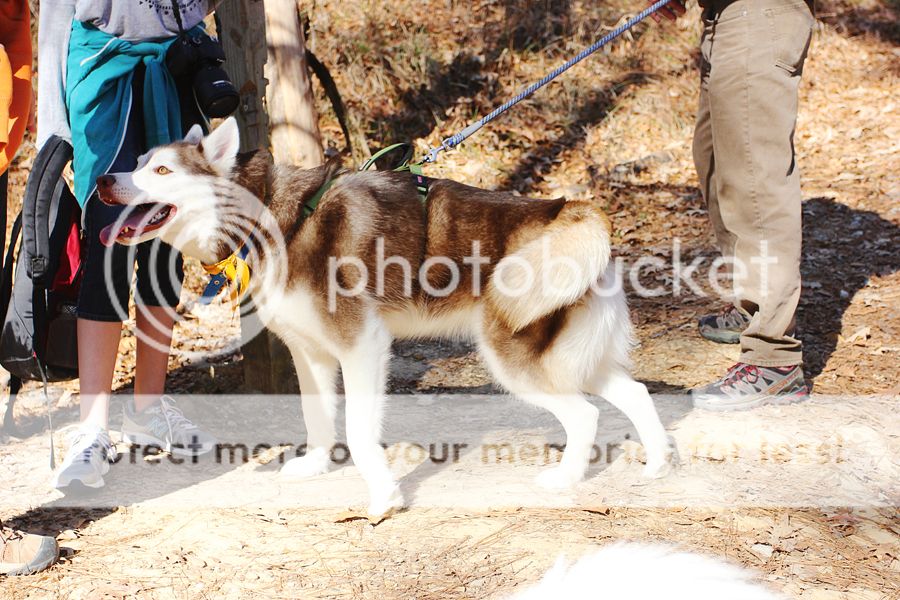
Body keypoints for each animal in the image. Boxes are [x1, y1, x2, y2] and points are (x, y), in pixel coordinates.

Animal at [98, 119, 676, 516]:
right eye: (139, 161)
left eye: (162, 170)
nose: (103, 179)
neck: (272, 218)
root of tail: (568, 210)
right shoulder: (309, 353)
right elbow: (316, 416)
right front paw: (314, 465)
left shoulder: (362, 346)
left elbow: (358, 431)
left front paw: (383, 498)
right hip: (571, 358)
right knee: (634, 394)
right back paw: (656, 465)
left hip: (515, 359)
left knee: (585, 415)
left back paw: (565, 480)